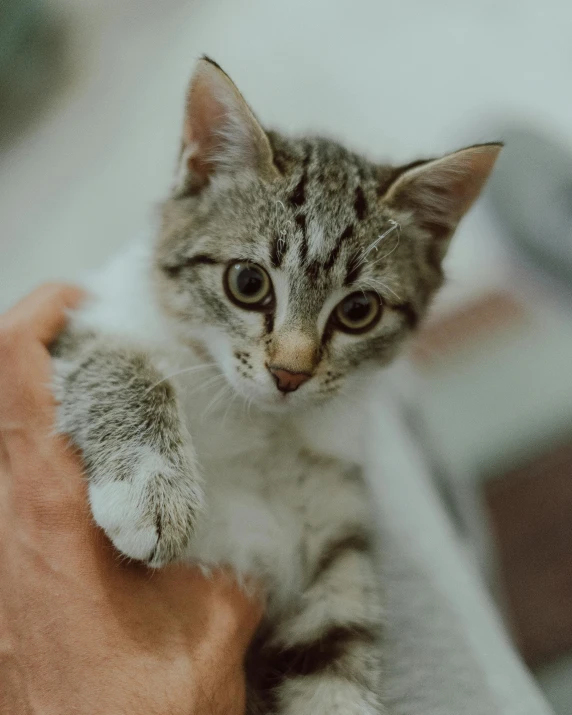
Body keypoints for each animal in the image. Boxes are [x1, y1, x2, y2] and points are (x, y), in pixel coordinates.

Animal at [52, 57, 500, 715]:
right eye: (247, 282)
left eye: (359, 311)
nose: (290, 373)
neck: (258, 426)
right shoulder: (87, 321)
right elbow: (119, 363)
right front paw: (153, 492)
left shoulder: (336, 543)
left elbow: (336, 666)